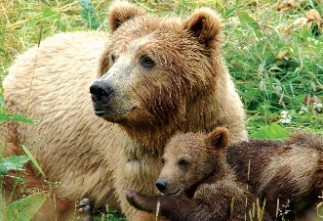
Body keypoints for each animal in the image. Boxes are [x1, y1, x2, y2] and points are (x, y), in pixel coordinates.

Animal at [2, 1, 248, 219]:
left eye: (147, 59)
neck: (168, 124)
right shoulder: (135, 158)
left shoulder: (219, 126)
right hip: (18, 129)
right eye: (114, 56)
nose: (100, 89)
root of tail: (27, 53)